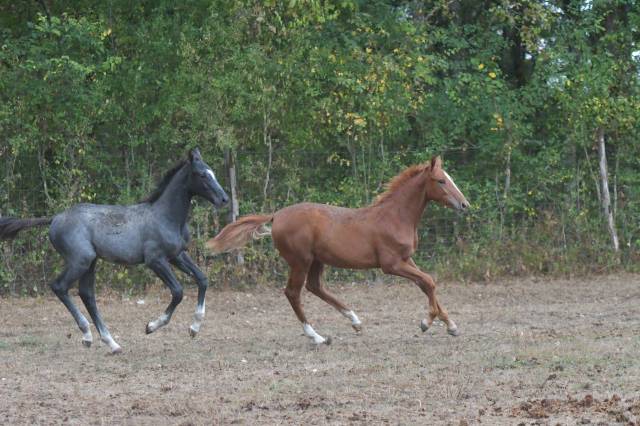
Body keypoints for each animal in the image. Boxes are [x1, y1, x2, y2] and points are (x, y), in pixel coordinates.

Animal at [0, 148, 228, 353]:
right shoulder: (155, 260)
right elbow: (178, 292)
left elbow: (202, 279)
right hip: (80, 260)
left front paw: (194, 328)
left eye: (213, 172)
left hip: (91, 262)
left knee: (86, 294)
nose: (224, 199)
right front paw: (151, 326)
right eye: (202, 174)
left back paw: (110, 342)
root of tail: (55, 218)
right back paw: (88, 335)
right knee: (60, 286)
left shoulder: (177, 256)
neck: (166, 217)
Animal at [206, 155, 469, 345]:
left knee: (314, 287)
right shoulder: (391, 264)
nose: (465, 205)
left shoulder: (407, 259)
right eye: (441, 181)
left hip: (317, 260)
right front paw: (427, 322)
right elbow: (429, 282)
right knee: (293, 293)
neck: (395, 217)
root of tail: (276, 215)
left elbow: (426, 283)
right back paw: (317, 337)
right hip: (300, 261)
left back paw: (355, 321)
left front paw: (451, 325)